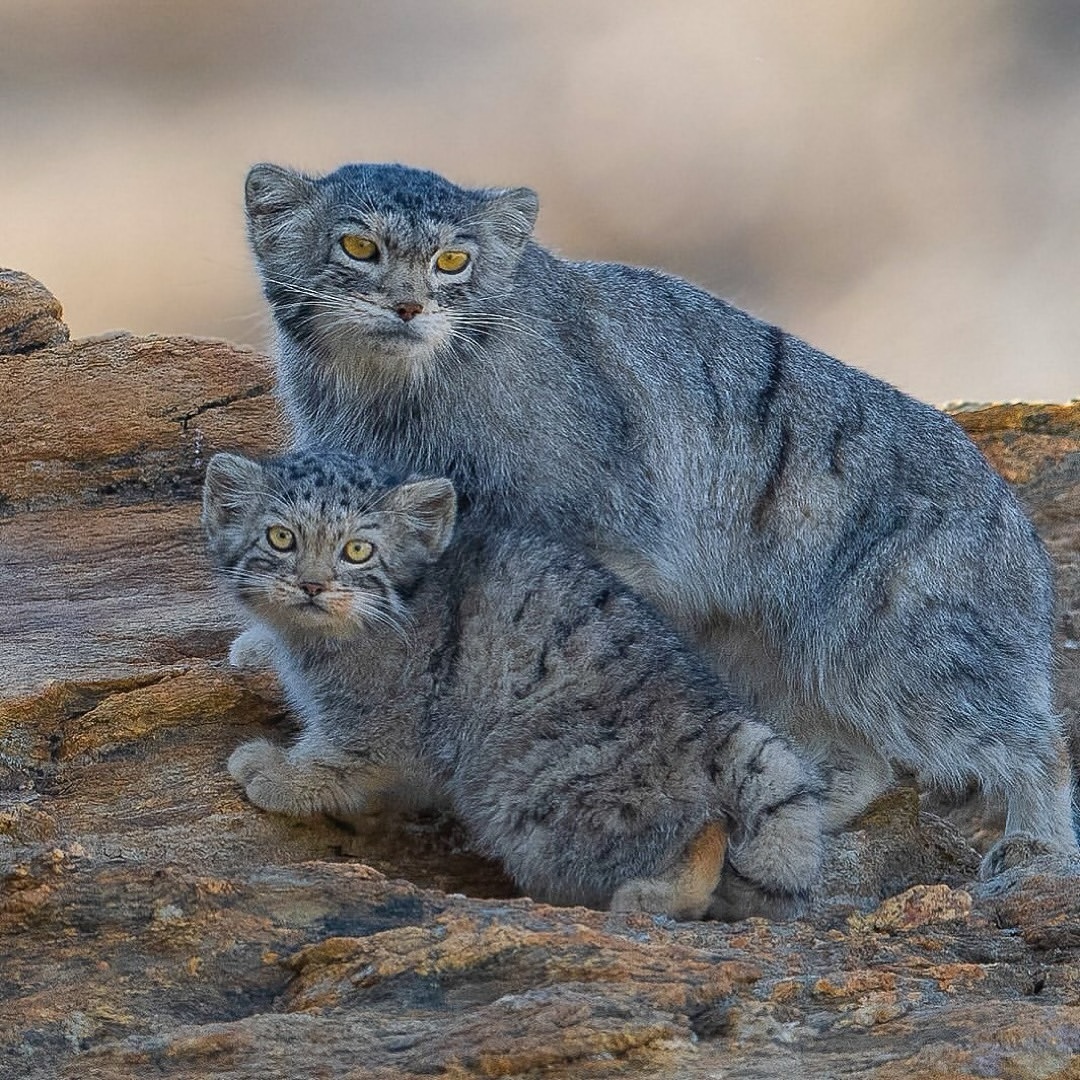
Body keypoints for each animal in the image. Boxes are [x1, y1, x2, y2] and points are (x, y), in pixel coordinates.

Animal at [204, 447, 825, 920]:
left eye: (358, 550)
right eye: (280, 538)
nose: (312, 586)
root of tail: (720, 721)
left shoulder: (381, 718)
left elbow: (338, 761)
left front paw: (280, 775)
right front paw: (256, 647)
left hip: (536, 787)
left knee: (701, 833)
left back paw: (654, 895)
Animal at [245, 159, 1080, 872]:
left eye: (454, 261)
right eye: (358, 246)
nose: (409, 305)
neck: (392, 394)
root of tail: (1015, 524)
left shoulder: (594, 531)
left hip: (904, 654)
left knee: (1037, 743)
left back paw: (1037, 844)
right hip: (765, 655)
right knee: (865, 761)